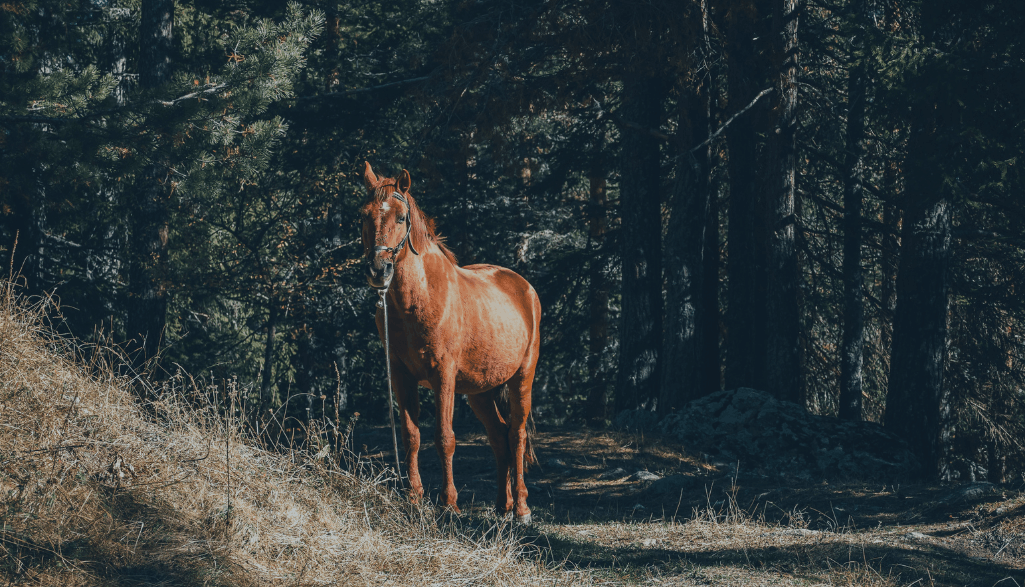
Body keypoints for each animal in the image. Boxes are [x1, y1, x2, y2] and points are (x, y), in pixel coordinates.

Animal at [359, 162, 541, 523]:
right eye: (364, 215)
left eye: (401, 217)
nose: (378, 269)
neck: (421, 298)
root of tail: (524, 287)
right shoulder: (401, 376)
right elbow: (411, 435)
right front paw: (413, 497)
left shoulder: (443, 374)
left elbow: (445, 437)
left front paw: (449, 503)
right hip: (481, 391)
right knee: (499, 436)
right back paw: (502, 506)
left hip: (522, 378)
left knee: (516, 434)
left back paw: (522, 508)